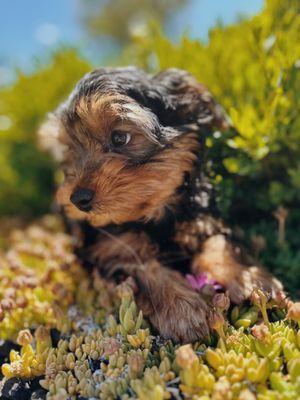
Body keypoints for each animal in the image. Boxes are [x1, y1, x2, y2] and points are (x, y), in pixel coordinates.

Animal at [40, 67, 284, 342]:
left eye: (120, 138)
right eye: (71, 151)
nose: (77, 198)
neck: (153, 215)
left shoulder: (202, 218)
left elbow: (218, 243)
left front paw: (252, 279)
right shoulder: (111, 250)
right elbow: (145, 269)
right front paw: (183, 310)